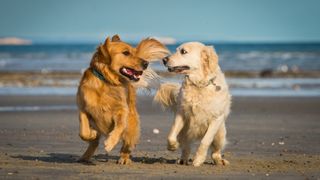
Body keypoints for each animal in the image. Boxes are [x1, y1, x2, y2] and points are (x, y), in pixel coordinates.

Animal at [76, 34, 169, 164]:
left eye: (134, 52)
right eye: (126, 53)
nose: (146, 63)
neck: (107, 82)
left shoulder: (122, 111)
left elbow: (119, 127)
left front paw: (110, 143)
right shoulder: (83, 107)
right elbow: (83, 131)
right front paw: (92, 133)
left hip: (132, 125)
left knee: (127, 145)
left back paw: (124, 158)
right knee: (94, 143)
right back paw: (85, 156)